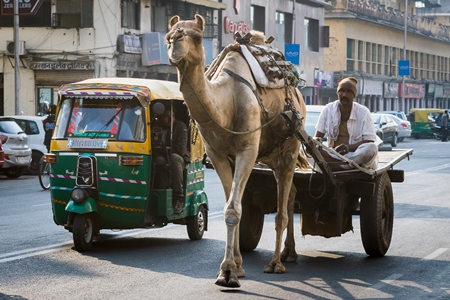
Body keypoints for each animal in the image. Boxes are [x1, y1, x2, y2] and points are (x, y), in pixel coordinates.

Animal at [167, 15, 308, 288]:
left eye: (197, 36)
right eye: (168, 36)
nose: (176, 43)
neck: (227, 102)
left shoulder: (248, 149)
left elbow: (233, 208)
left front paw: (228, 273)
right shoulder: (217, 154)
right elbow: (232, 206)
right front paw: (237, 267)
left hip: (289, 147)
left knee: (282, 208)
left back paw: (276, 263)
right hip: (270, 155)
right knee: (291, 194)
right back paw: (290, 253)